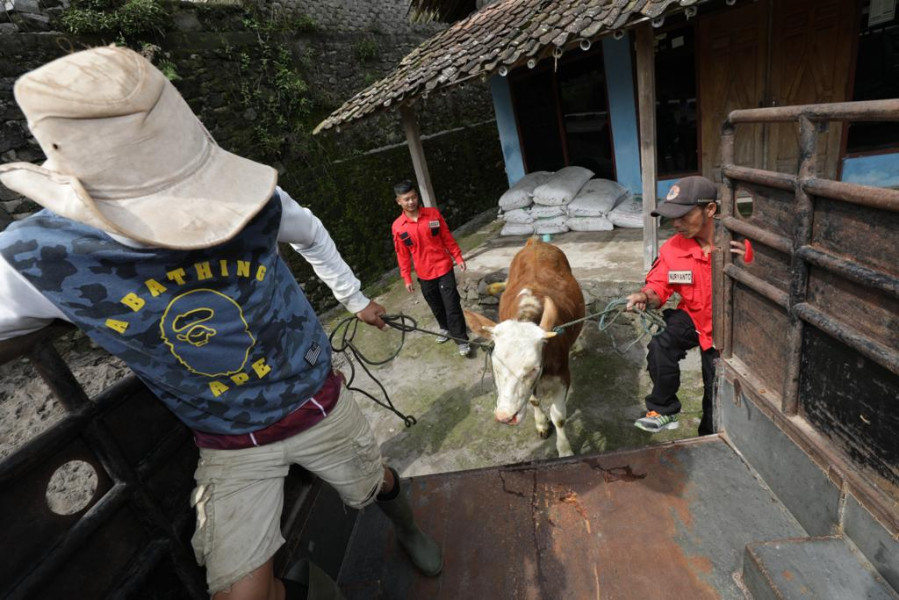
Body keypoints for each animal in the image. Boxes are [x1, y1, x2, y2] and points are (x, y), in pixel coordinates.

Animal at [468, 237, 588, 458]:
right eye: (495, 367)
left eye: (533, 368)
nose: (505, 417)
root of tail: (535, 242)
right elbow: (534, 401)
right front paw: (541, 424)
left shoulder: (562, 376)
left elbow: (559, 416)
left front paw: (565, 450)